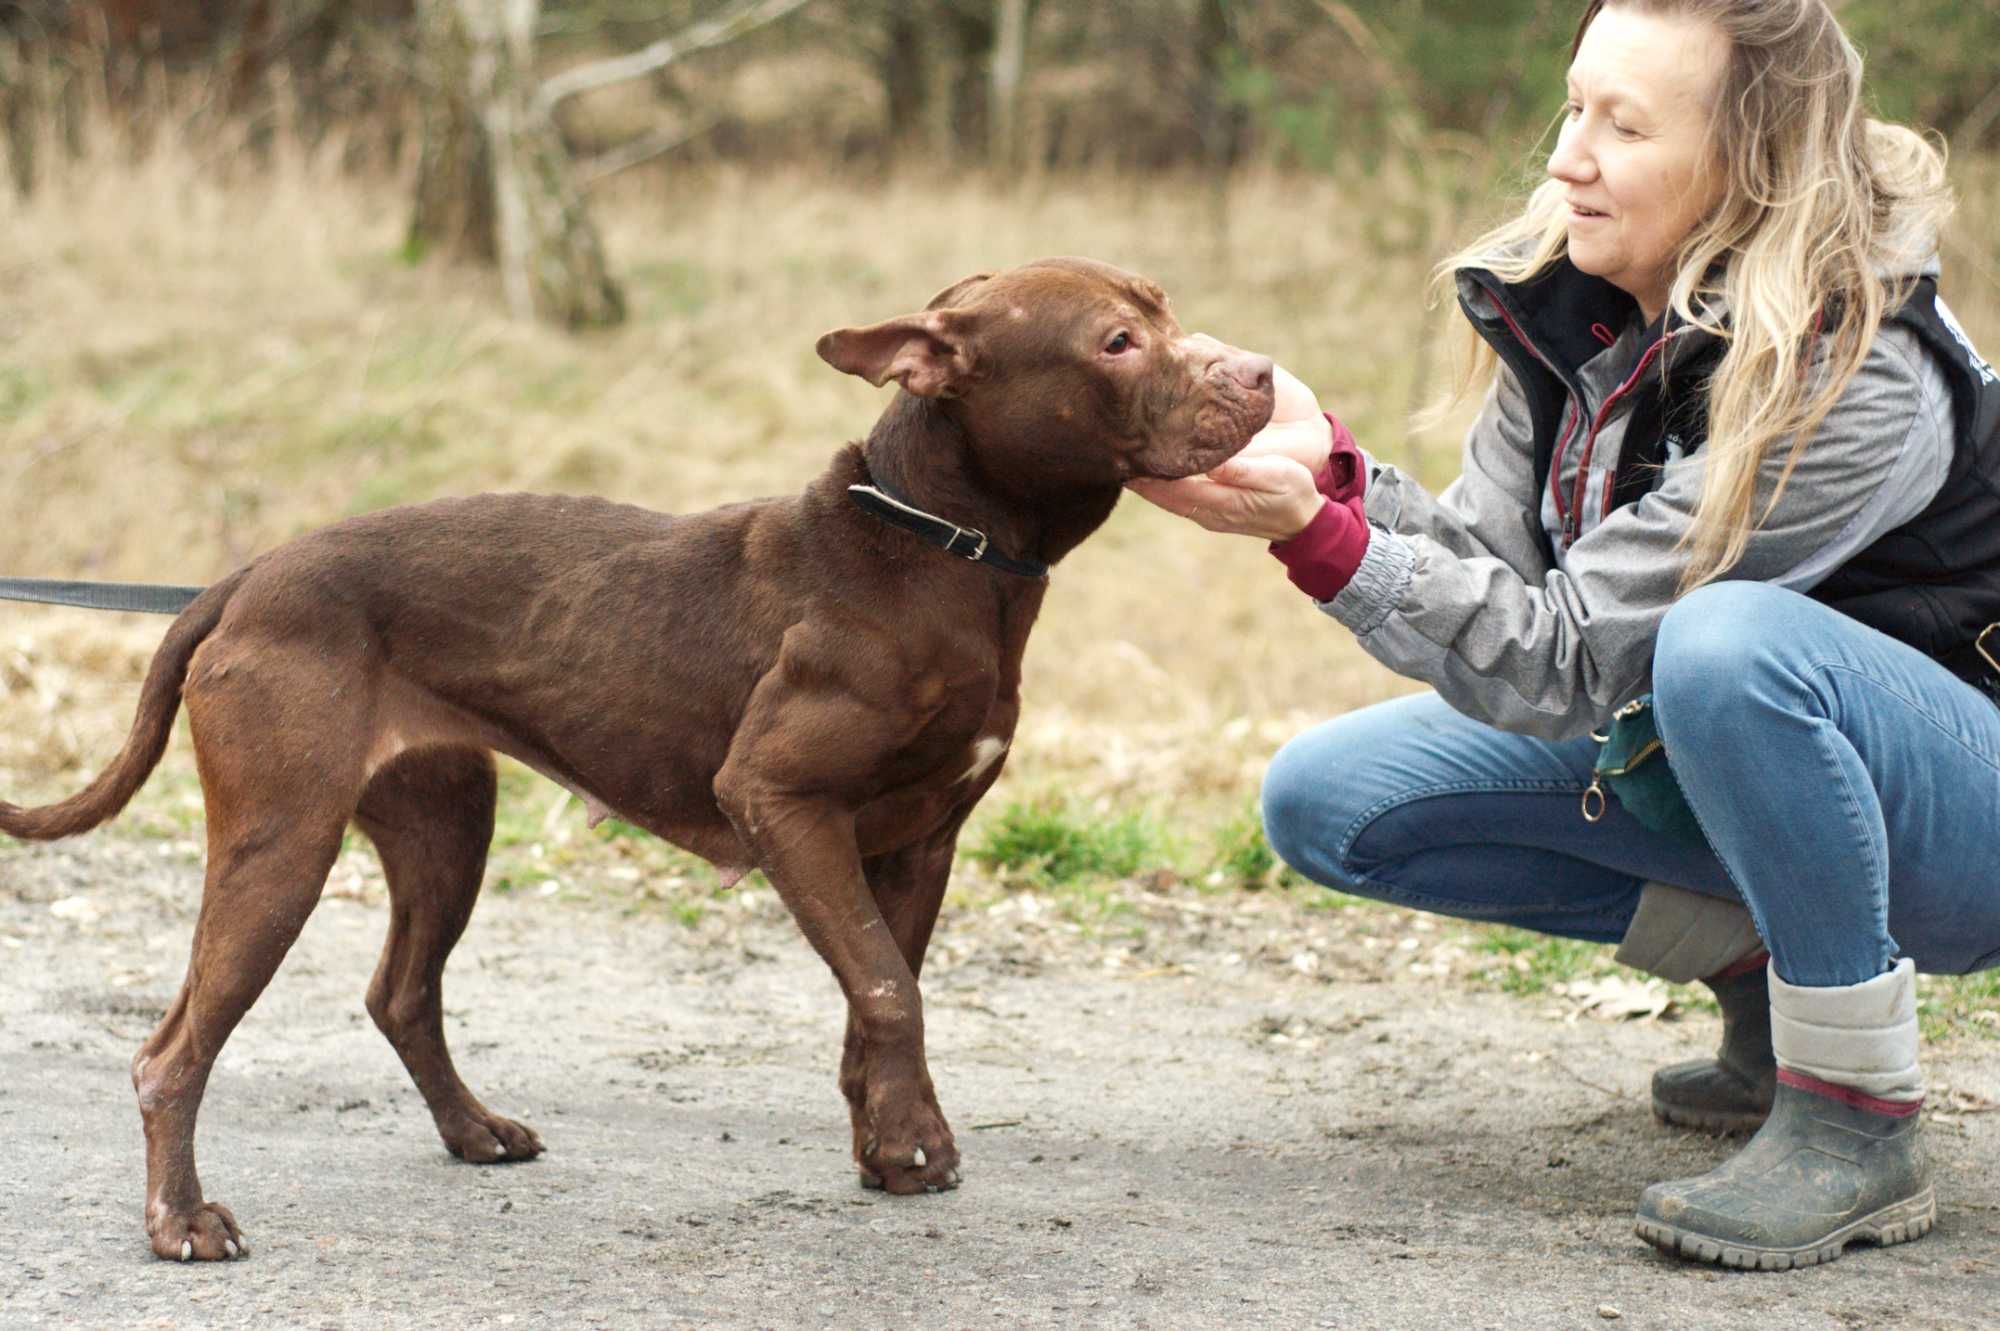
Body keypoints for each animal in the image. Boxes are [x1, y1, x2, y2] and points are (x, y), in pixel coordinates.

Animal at [0, 255, 1272, 1255]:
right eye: (1115, 341)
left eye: (1165, 307)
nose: (1258, 372)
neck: (941, 545)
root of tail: (245, 576)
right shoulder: (779, 797)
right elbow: (881, 982)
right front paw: (916, 1141)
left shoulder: (918, 841)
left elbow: (880, 993)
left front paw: (885, 1141)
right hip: (283, 837)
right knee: (173, 1048)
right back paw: (182, 1222)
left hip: (443, 821)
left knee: (401, 990)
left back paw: (472, 1131)